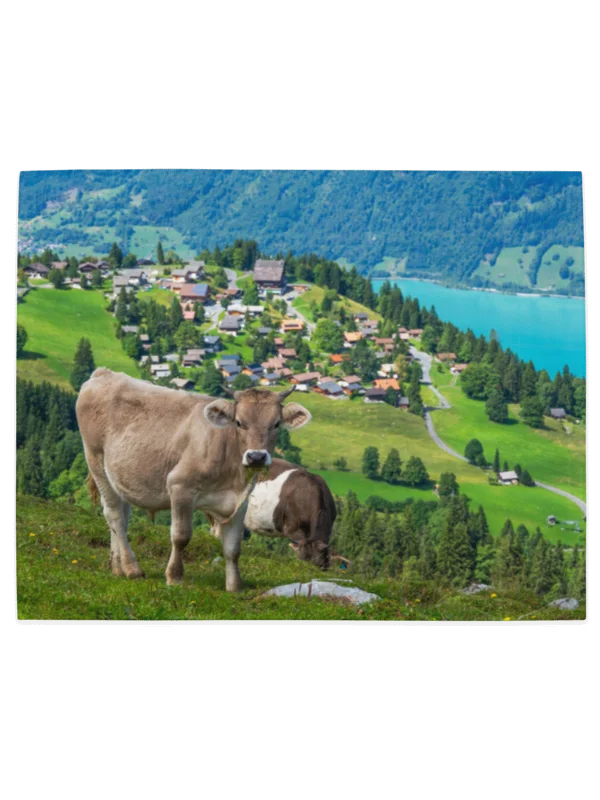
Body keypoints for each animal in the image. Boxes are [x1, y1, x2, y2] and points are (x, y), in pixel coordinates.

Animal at [76, 369, 311, 592]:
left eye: (276, 424)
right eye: (239, 422)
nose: (256, 457)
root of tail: (104, 374)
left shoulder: (240, 501)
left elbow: (233, 548)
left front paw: (234, 586)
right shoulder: (180, 487)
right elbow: (181, 536)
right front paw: (174, 576)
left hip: (121, 475)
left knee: (122, 518)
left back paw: (117, 566)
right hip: (96, 460)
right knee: (115, 515)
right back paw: (132, 568)